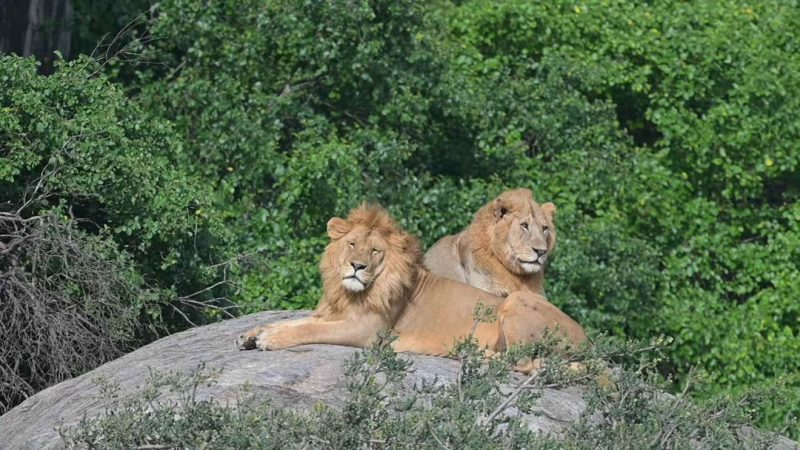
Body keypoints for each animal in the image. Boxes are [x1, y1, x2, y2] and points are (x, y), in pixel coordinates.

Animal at [237, 203, 584, 364]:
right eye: (352, 244)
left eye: (375, 251)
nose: (356, 267)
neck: (353, 293)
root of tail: (589, 343)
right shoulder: (335, 313)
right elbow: (296, 321)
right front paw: (252, 334)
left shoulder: (366, 331)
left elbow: (308, 329)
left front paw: (270, 339)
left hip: (514, 302)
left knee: (521, 361)